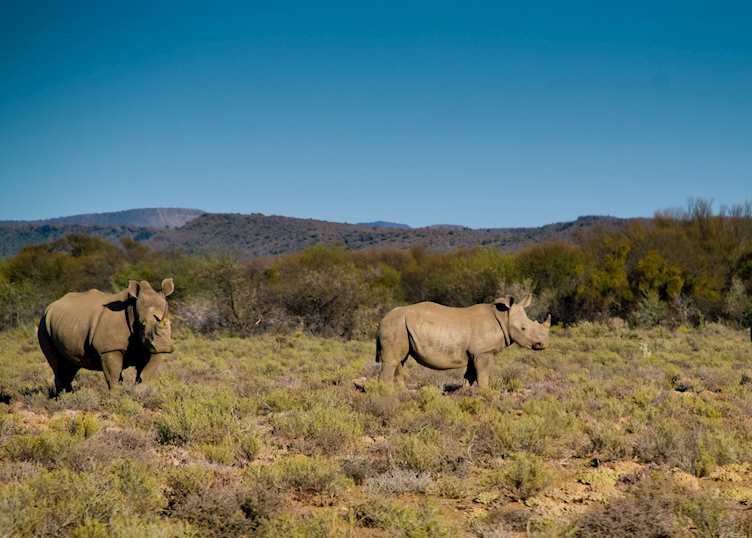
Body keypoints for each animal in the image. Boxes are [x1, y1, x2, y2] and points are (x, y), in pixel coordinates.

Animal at [38, 279, 175, 394]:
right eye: (143, 324)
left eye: (171, 324)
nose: (163, 346)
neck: (132, 309)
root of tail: (49, 307)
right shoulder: (109, 348)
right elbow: (113, 376)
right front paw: (116, 397)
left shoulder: (152, 348)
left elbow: (146, 374)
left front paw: (139, 394)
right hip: (43, 325)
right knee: (58, 365)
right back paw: (62, 397)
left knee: (70, 364)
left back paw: (68, 394)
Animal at [376, 295, 550, 389]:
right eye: (523, 328)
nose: (543, 344)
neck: (503, 317)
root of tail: (382, 319)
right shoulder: (483, 352)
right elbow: (483, 375)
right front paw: (485, 392)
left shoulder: (475, 353)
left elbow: (470, 376)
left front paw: (466, 392)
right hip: (394, 325)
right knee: (393, 361)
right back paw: (388, 395)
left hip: (400, 326)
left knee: (401, 360)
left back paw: (402, 392)